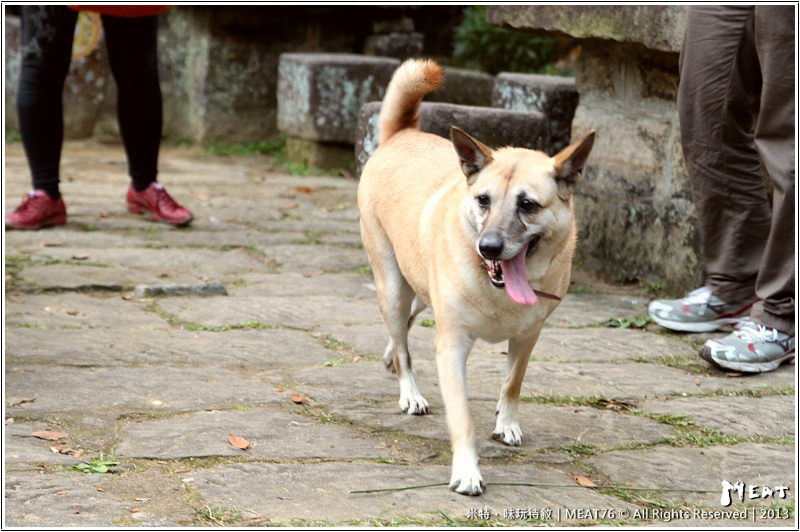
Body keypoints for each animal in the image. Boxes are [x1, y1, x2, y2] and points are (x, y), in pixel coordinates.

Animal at [356, 58, 592, 494]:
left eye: (528, 205)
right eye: (483, 200)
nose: (489, 248)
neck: (498, 290)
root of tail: (402, 135)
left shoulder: (528, 336)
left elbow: (513, 382)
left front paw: (507, 424)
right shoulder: (451, 346)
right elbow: (461, 415)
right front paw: (467, 470)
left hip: (418, 289)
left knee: (405, 326)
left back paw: (390, 357)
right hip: (393, 286)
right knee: (403, 342)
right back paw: (409, 391)